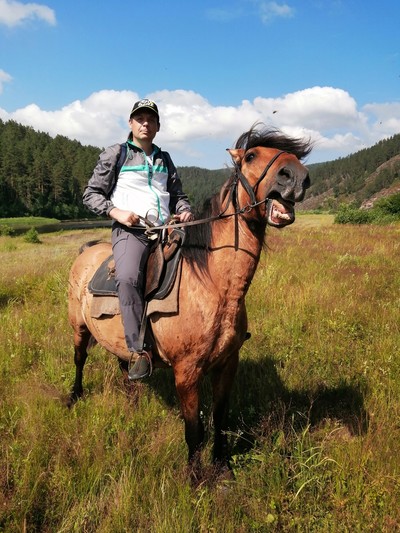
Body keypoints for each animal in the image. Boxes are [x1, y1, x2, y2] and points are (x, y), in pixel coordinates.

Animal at [68, 125, 312, 481]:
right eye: (251, 156)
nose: (296, 177)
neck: (212, 287)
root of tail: (86, 250)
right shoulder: (186, 372)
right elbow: (194, 428)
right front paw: (195, 479)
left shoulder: (227, 364)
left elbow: (220, 419)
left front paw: (222, 466)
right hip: (78, 327)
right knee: (79, 359)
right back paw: (74, 396)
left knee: (123, 362)